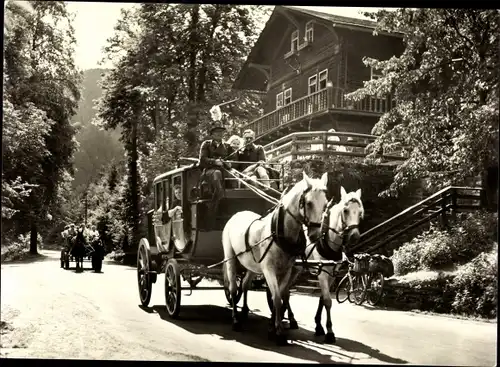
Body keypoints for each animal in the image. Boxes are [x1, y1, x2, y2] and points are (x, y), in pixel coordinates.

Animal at [223, 172, 328, 344]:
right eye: (309, 203)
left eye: (325, 205)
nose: (314, 236)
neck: (281, 232)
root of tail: (238, 213)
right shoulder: (269, 270)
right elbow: (277, 297)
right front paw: (278, 331)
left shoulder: (286, 270)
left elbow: (279, 295)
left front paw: (273, 326)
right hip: (230, 258)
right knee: (232, 288)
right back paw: (236, 320)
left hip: (252, 265)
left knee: (244, 285)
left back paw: (244, 310)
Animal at [286, 187, 364, 344]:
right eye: (345, 210)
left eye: (360, 212)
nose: (354, 236)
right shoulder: (322, 274)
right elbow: (328, 301)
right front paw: (329, 332)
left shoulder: (331, 275)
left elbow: (322, 299)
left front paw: (319, 326)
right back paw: (288, 318)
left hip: (297, 269)